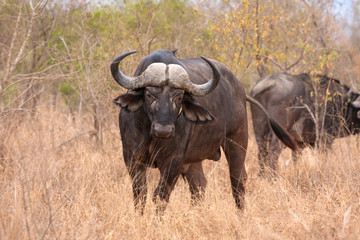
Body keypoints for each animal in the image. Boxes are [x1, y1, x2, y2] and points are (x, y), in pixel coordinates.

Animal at [111, 49, 296, 213]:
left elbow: (161, 195)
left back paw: (240, 213)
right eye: (149, 94)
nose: (163, 130)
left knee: (237, 179)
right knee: (199, 185)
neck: (152, 135)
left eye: (179, 97)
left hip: (238, 139)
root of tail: (241, 91)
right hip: (194, 160)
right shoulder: (132, 158)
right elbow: (140, 194)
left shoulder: (174, 161)